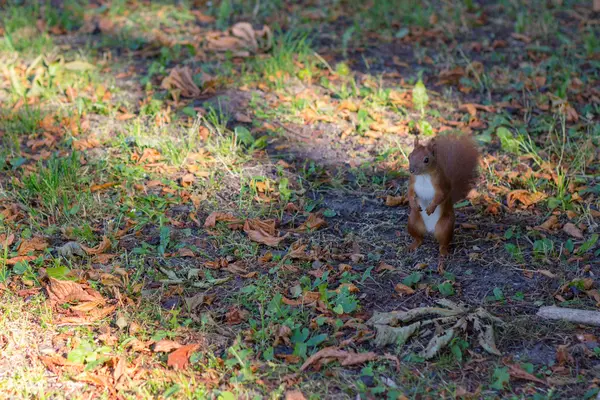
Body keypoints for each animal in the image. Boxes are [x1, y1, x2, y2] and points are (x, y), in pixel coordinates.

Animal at [406, 133, 480, 268]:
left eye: (426, 160)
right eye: (409, 156)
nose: (412, 170)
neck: (423, 176)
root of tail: (430, 230)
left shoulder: (441, 185)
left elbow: (440, 197)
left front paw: (430, 209)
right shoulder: (412, 183)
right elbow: (409, 194)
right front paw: (413, 204)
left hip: (445, 226)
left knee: (443, 243)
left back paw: (444, 253)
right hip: (413, 222)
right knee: (419, 238)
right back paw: (413, 245)